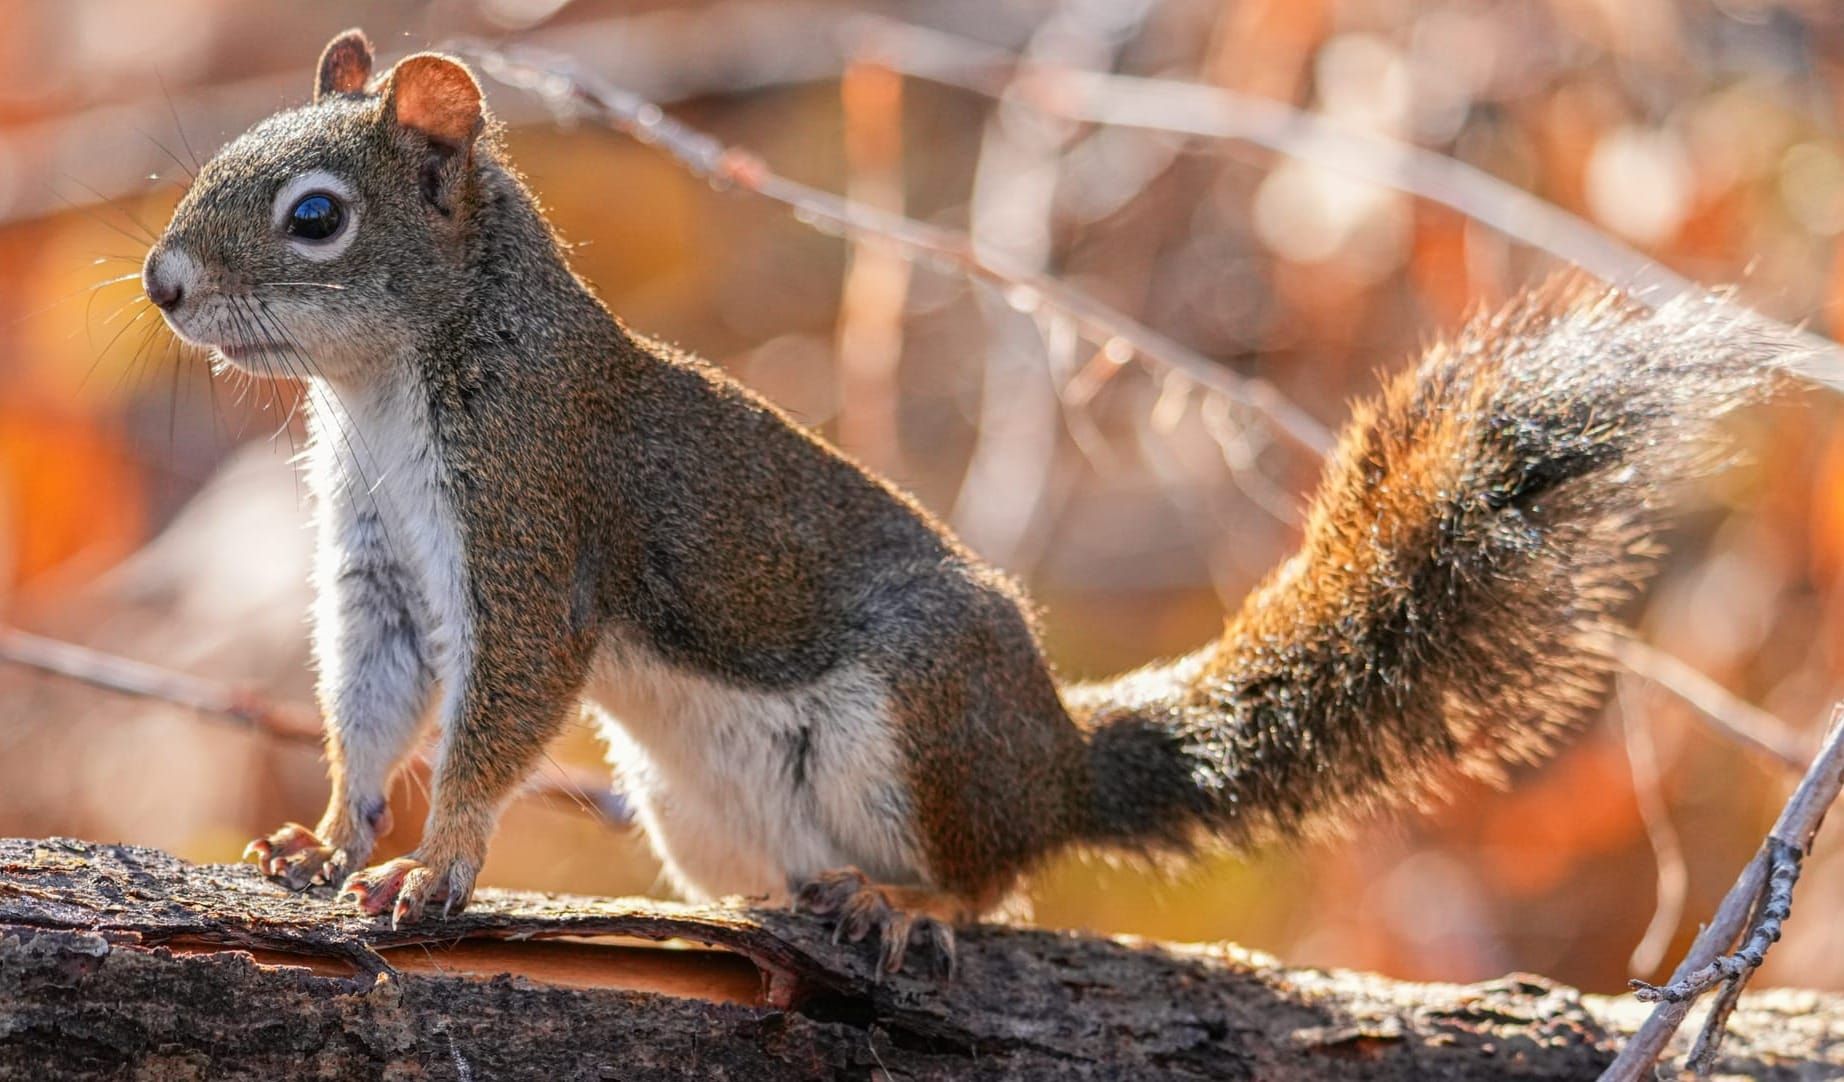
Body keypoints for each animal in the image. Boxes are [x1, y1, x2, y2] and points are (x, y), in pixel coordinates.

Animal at [140, 29, 1789, 977]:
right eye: (214, 160)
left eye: (313, 217)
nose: (160, 282)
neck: (392, 385)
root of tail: (1056, 757)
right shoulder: (380, 558)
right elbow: (373, 694)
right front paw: (330, 834)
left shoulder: (541, 517)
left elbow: (502, 706)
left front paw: (436, 861)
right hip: (705, 813)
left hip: (924, 719)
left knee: (999, 879)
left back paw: (911, 908)